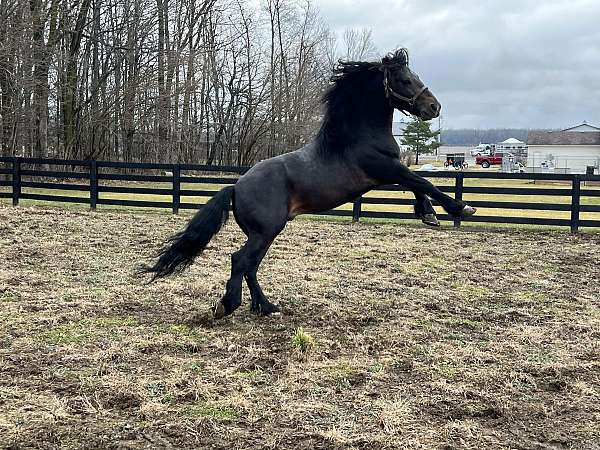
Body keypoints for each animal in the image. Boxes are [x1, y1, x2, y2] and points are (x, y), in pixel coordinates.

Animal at [143, 49, 476, 318]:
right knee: (240, 261)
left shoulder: (389, 173)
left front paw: (428, 214)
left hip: (266, 233)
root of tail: (236, 187)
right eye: (405, 79)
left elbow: (419, 186)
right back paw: (228, 305)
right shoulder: (386, 169)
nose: (434, 107)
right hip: (265, 231)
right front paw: (461, 208)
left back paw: (267, 307)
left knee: (250, 266)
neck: (356, 137)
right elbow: (424, 182)